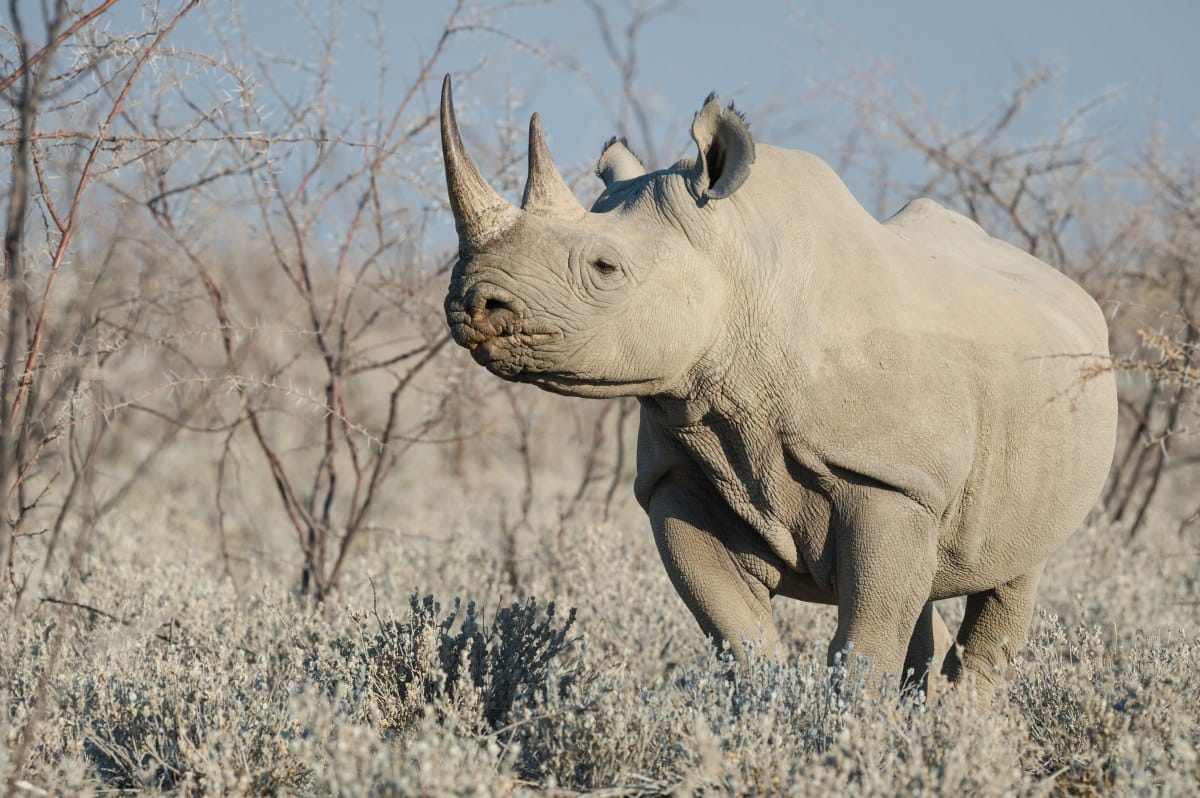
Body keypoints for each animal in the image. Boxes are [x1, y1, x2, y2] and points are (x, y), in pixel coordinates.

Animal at [439, 75, 1117, 690]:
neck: (741, 268)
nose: (473, 303)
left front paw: (849, 729)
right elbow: (739, 634)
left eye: (605, 268)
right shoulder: (677, 470)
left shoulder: (888, 479)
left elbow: (864, 646)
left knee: (1014, 573)